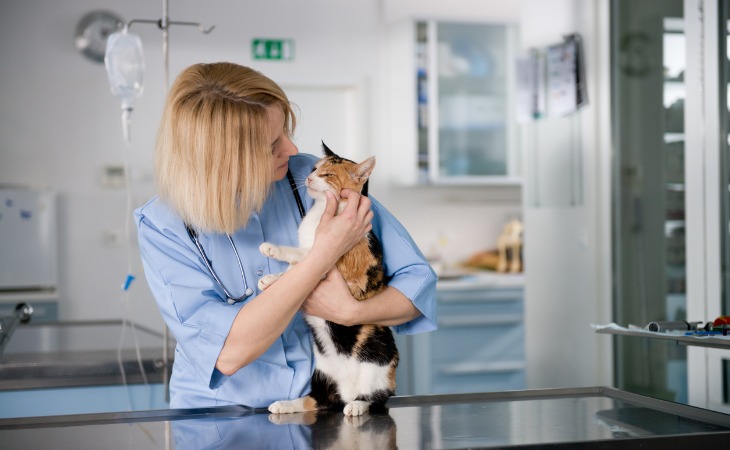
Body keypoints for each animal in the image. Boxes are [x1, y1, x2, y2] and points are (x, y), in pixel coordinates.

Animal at [258, 143, 398, 414]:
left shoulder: (331, 261)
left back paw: (356, 406)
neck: (321, 213)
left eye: (328, 174)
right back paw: (284, 405)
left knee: (377, 397)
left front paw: (273, 253)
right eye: (315, 168)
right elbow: (292, 269)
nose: (310, 177)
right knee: (314, 400)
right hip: (321, 374)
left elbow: (302, 257)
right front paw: (271, 278)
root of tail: (344, 391)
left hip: (379, 358)